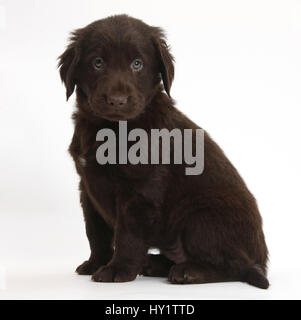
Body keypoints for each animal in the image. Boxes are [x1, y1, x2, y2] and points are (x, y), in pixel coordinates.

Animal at [58, 13, 268, 288]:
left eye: (137, 64)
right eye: (98, 63)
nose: (116, 101)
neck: (110, 130)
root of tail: (262, 261)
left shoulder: (138, 193)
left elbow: (127, 235)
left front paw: (118, 269)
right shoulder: (88, 188)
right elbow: (96, 232)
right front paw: (95, 263)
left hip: (200, 218)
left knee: (236, 266)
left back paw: (188, 271)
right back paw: (155, 264)